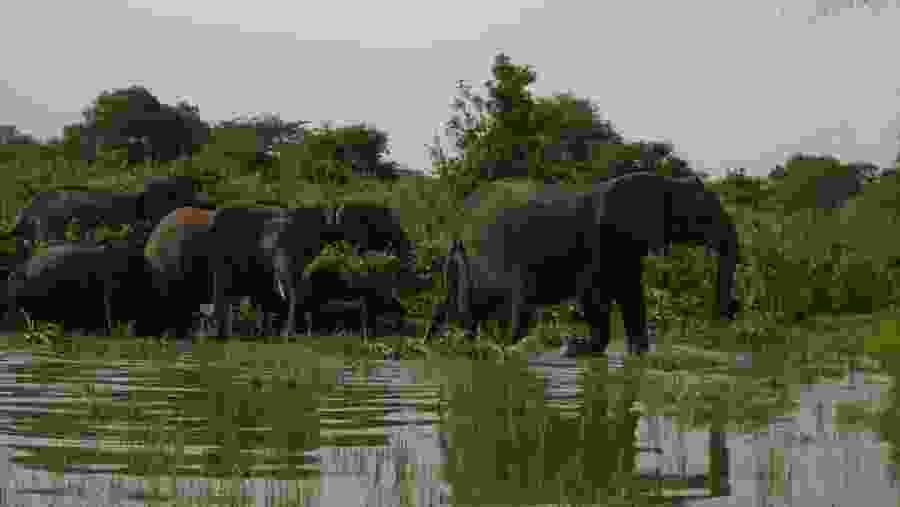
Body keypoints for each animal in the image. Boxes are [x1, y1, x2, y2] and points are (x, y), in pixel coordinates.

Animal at [426, 171, 740, 356]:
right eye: (703, 216)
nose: (730, 312)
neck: (664, 182)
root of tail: (458, 223)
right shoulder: (602, 241)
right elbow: (593, 295)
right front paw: (578, 350)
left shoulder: (626, 247)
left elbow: (631, 294)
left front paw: (638, 355)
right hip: (491, 254)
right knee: (512, 305)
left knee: (455, 306)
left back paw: (440, 345)